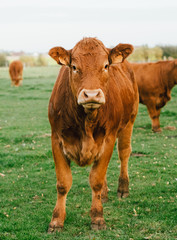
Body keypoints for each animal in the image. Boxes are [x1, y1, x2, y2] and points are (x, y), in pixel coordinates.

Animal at [47, 38, 139, 232]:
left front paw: (97, 217)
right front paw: (57, 220)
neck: (86, 121)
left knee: (124, 154)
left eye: (105, 66)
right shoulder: (56, 139)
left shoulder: (108, 138)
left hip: (129, 122)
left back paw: (123, 189)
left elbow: (96, 179)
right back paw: (103, 195)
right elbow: (63, 183)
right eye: (74, 67)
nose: (91, 94)